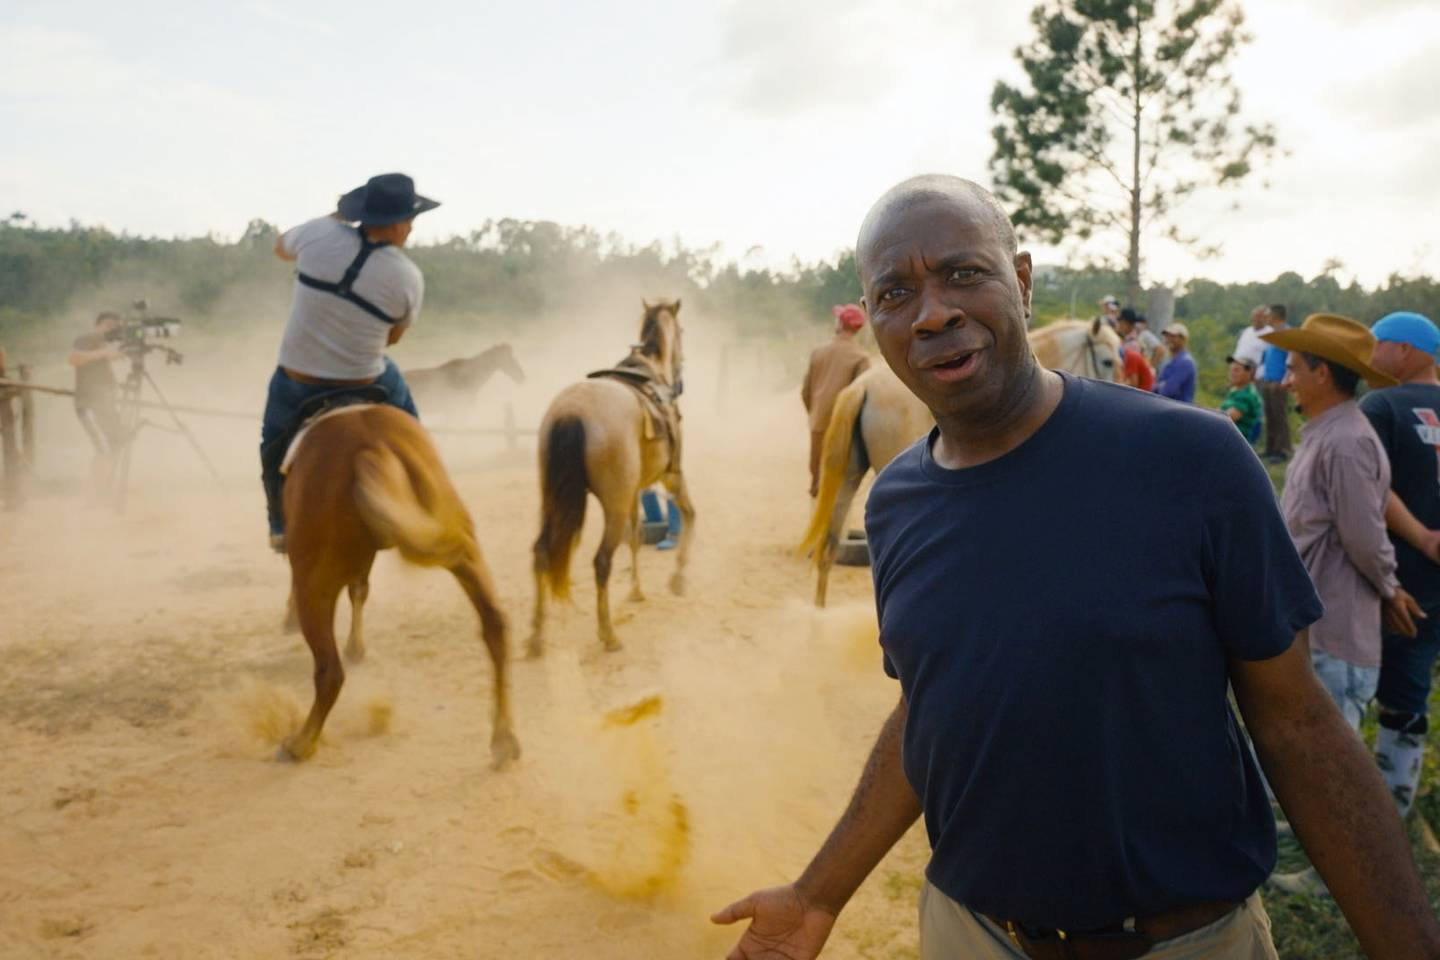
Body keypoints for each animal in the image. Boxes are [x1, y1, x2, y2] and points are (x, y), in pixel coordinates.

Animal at [277, 402, 521, 771]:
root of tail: (372, 445)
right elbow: (360, 590)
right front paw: (357, 646)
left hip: (313, 581)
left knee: (329, 671)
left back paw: (301, 742)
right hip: (460, 546)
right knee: (495, 625)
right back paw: (503, 740)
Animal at [529, 300, 691, 656]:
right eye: (683, 331)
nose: (680, 381)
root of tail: (572, 411)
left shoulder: (635, 491)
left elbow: (637, 535)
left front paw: (636, 591)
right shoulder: (672, 475)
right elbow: (690, 515)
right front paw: (679, 579)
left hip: (554, 502)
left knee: (542, 552)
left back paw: (536, 636)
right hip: (613, 506)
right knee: (601, 561)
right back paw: (608, 633)